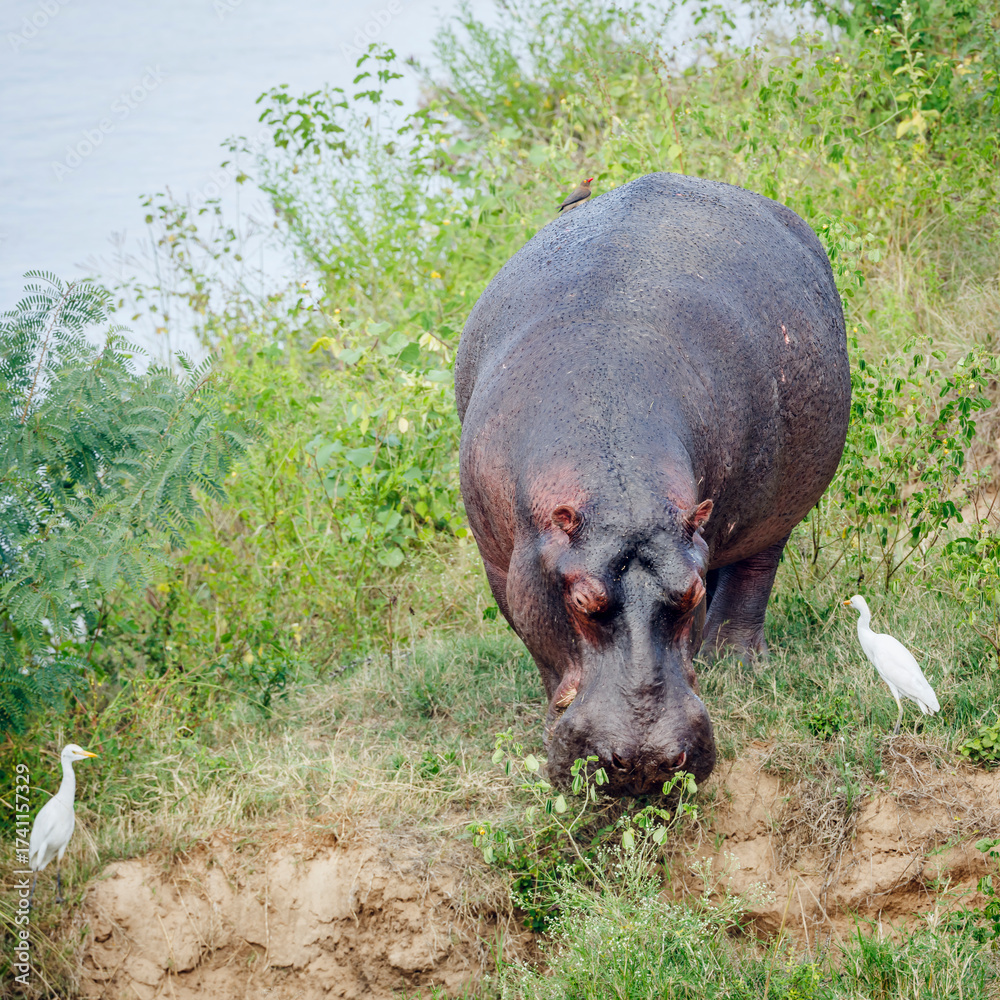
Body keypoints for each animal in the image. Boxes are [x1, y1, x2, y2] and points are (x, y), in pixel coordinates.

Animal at [455, 172, 849, 794]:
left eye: (688, 596)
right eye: (582, 601)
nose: (646, 762)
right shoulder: (501, 563)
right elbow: (537, 643)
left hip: (781, 504)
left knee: (754, 572)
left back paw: (734, 666)